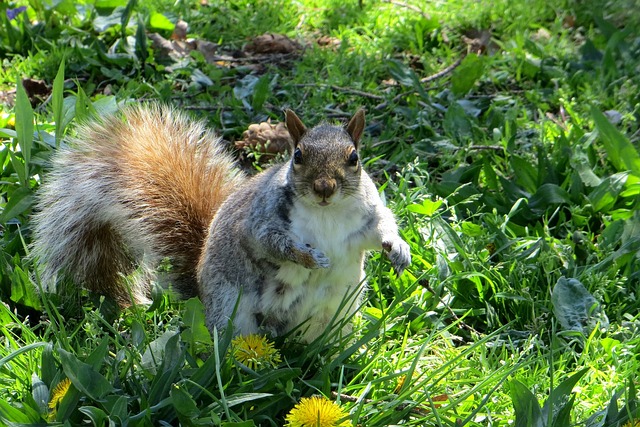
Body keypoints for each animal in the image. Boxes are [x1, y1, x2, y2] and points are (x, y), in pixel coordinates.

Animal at [31, 105, 410, 342]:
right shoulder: (259, 220)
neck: (327, 214)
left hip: (335, 311)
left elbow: (381, 229)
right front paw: (308, 257)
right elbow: (270, 242)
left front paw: (398, 249)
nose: (324, 188)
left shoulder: (366, 217)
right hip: (231, 307)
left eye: (354, 158)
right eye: (298, 156)